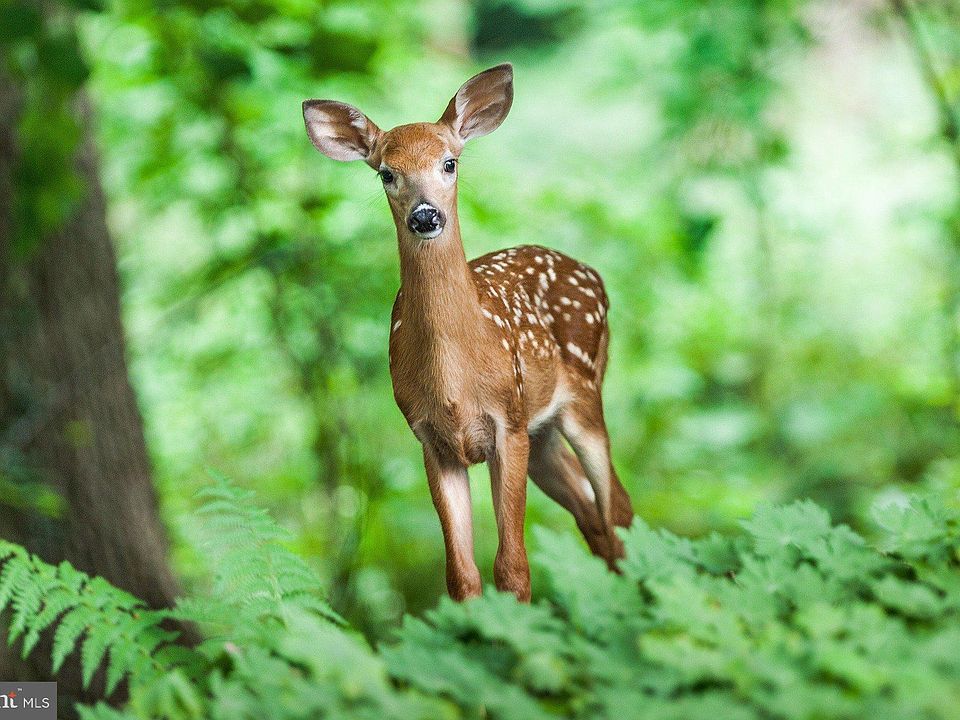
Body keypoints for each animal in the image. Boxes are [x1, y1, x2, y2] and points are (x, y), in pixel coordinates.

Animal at [302, 64, 633, 602]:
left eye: (450, 163)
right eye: (386, 172)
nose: (425, 215)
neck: (456, 380)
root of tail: (593, 274)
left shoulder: (507, 422)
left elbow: (513, 567)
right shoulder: (431, 440)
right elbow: (461, 575)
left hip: (582, 394)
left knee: (617, 508)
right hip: (542, 433)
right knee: (592, 515)